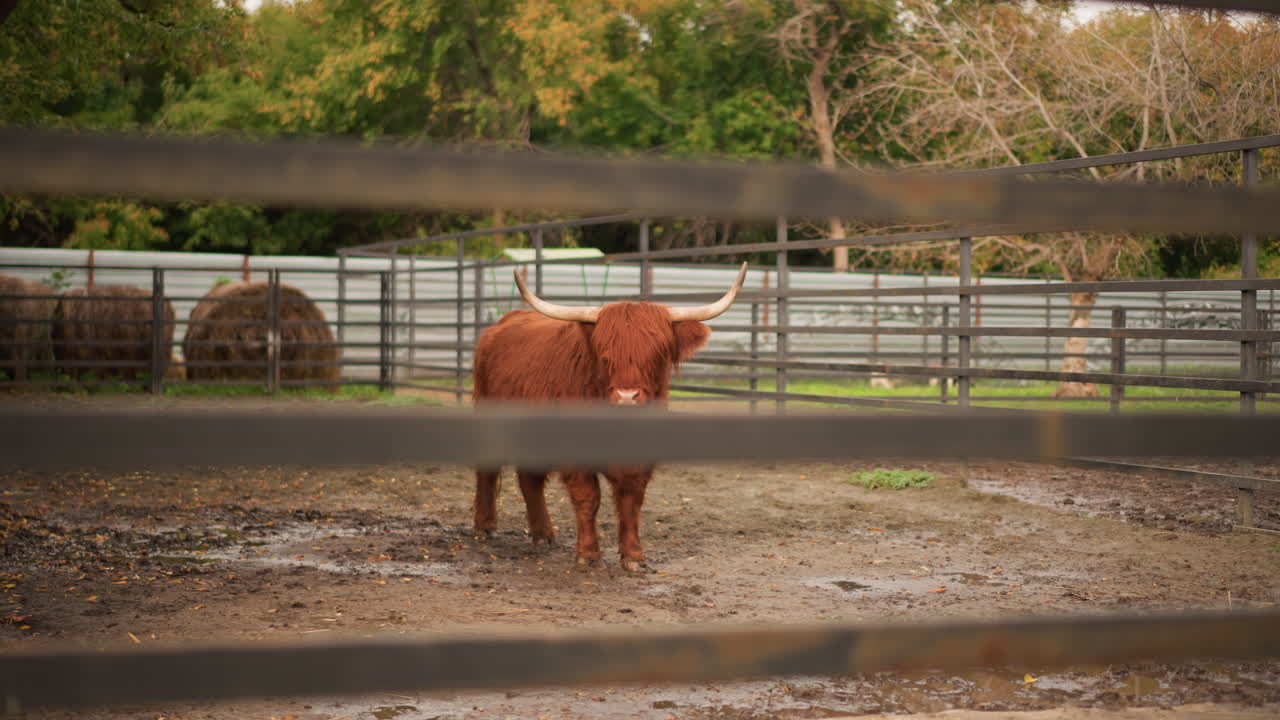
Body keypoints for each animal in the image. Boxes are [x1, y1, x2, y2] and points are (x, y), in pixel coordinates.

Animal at [471, 262, 747, 571]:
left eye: (657, 354)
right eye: (605, 355)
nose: (627, 397)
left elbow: (631, 499)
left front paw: (634, 556)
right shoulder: (575, 452)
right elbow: (587, 497)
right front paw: (588, 554)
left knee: (529, 479)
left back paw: (543, 534)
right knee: (488, 469)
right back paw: (486, 526)